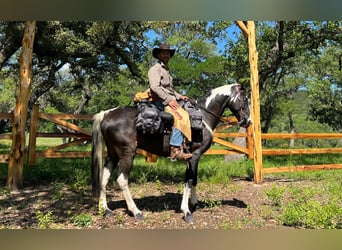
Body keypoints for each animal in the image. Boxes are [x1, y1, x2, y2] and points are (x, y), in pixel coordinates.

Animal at [91, 83, 251, 224]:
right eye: (245, 99)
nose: (248, 121)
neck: (203, 117)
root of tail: (106, 114)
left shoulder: (192, 158)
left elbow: (194, 179)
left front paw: (194, 204)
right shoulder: (194, 156)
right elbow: (189, 181)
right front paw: (186, 212)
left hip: (113, 154)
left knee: (104, 178)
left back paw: (106, 210)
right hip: (127, 154)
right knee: (122, 180)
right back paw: (136, 212)